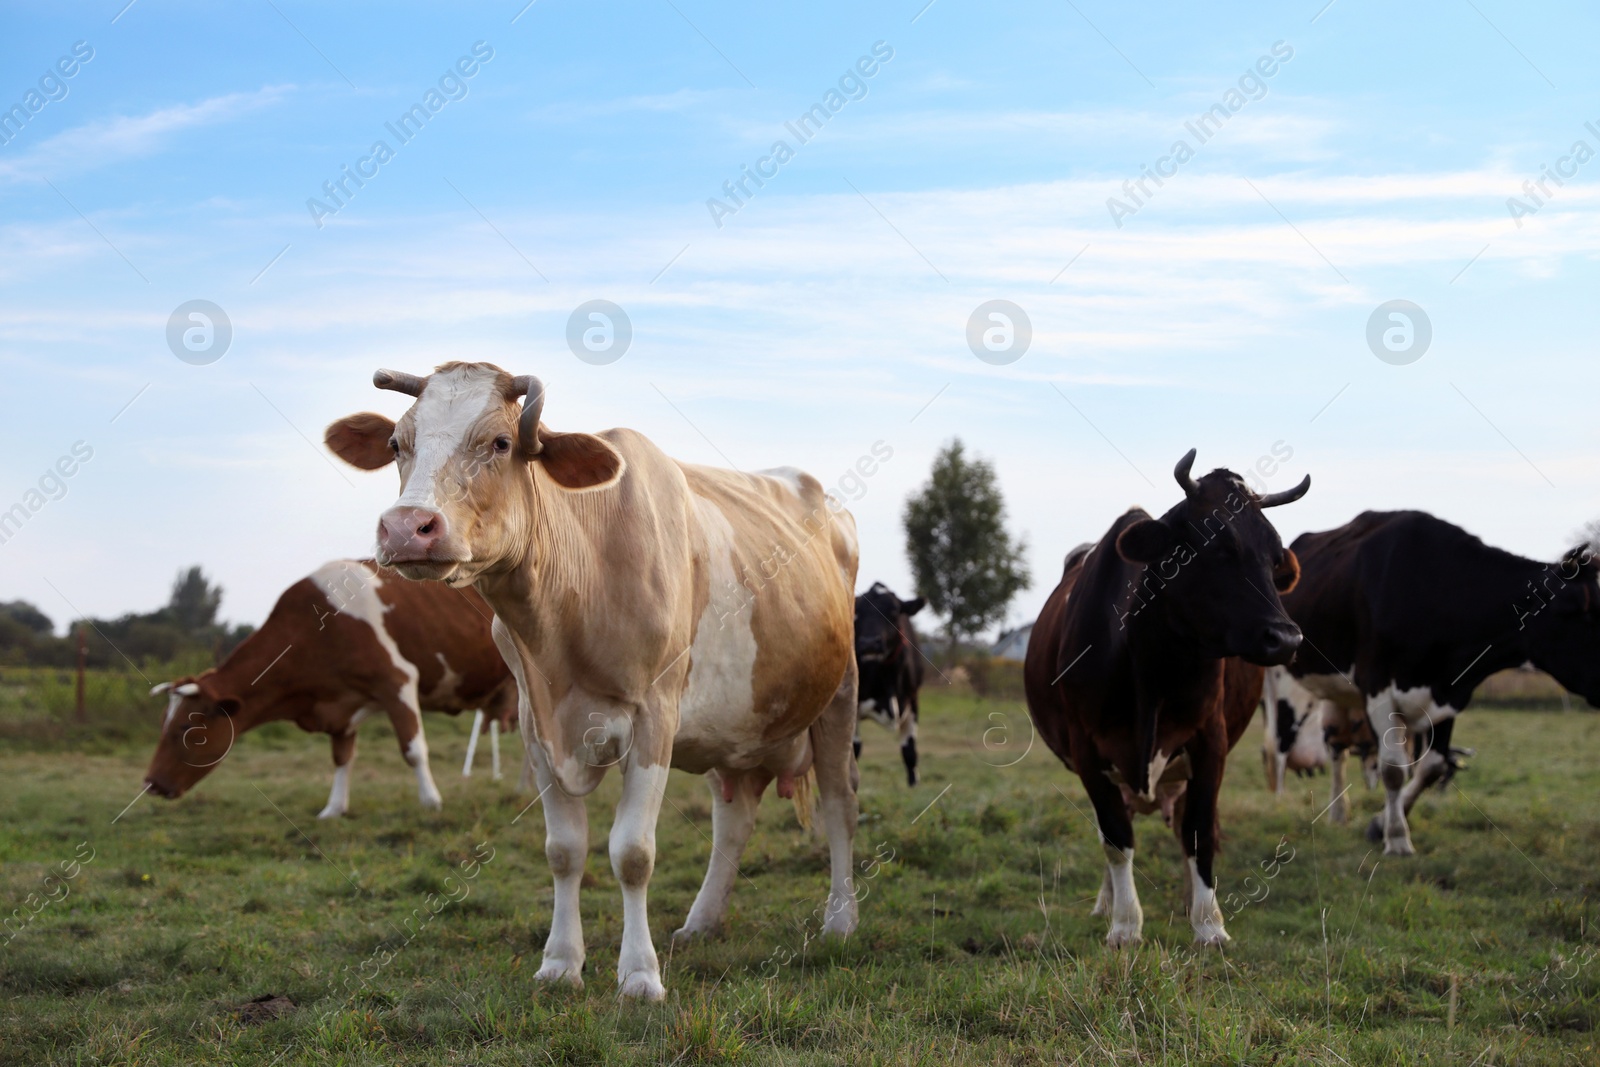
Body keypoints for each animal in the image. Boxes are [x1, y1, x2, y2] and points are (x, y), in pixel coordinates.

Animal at [144, 559, 515, 819]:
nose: (150, 783)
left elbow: (413, 749)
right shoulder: (342, 705)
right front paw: (334, 809)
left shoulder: (397, 680)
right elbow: (341, 757)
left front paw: (432, 802)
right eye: (162, 722)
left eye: (186, 728)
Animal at [323, 364, 864, 1004]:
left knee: (840, 805)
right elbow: (564, 850)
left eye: (500, 442)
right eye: (394, 444)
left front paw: (640, 975)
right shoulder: (535, 724)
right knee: (732, 821)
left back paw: (840, 920)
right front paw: (560, 963)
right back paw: (702, 923)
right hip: (734, 725)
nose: (407, 527)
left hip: (840, 693)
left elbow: (632, 853)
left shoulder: (655, 716)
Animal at [1024, 454, 1312, 953]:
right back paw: (1106, 904)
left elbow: (1199, 834)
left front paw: (1209, 924)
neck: (1152, 665)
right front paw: (1124, 925)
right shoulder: (1087, 751)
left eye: (1274, 558)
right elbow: (1116, 838)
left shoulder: (1210, 742)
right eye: (1214, 546)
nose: (1286, 637)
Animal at [1280, 511, 1600, 857]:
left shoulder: (1450, 692)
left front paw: (1380, 823)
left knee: (1337, 746)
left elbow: (1431, 767)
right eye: (1587, 613)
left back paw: (1340, 812)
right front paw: (1397, 838)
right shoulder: (1377, 687)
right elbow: (1393, 769)